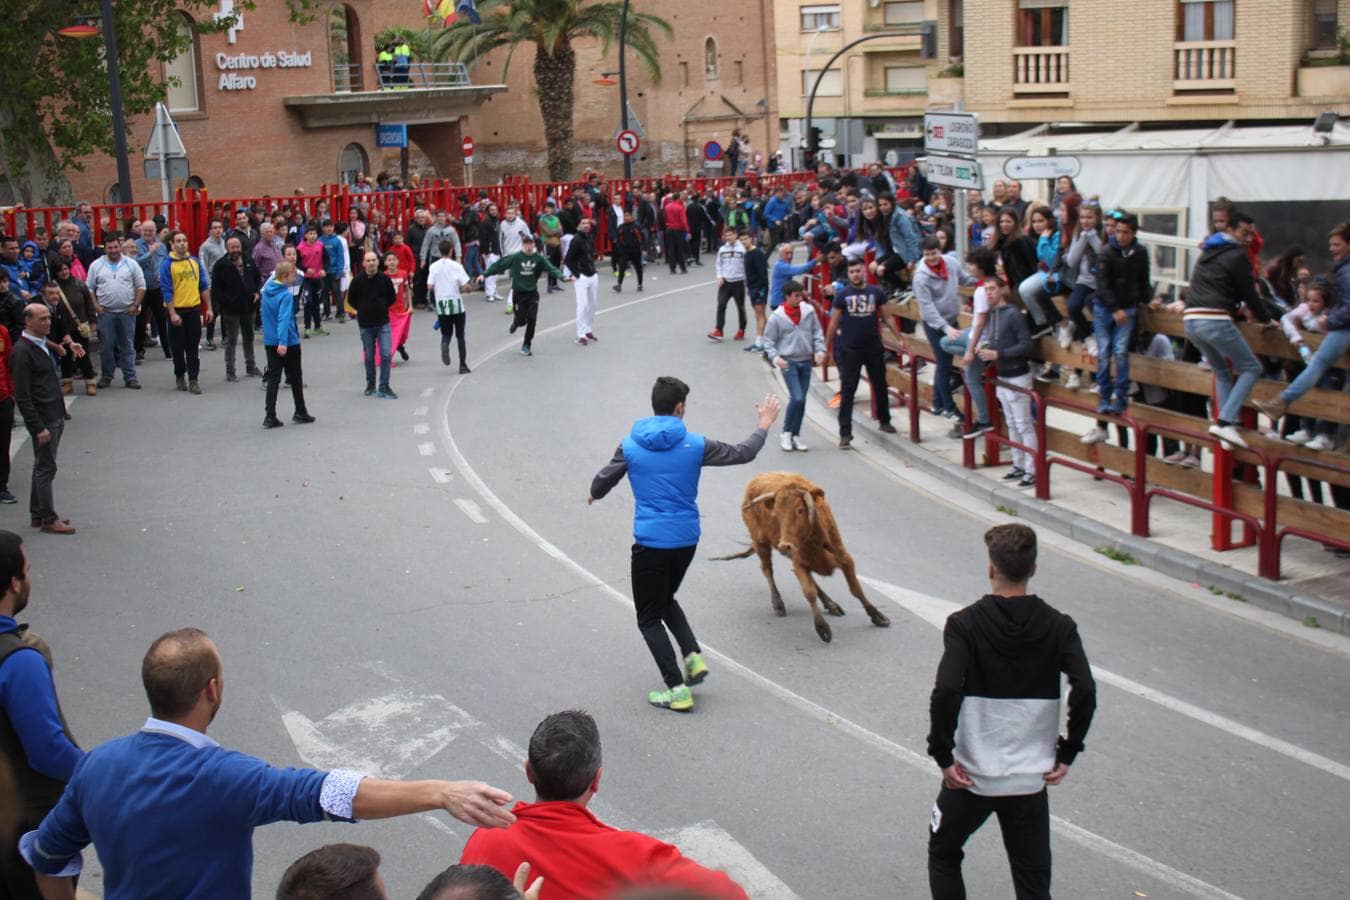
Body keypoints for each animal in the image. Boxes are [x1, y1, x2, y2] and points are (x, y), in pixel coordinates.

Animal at [718, 472, 896, 639]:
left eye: (800, 510)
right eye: (776, 514)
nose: (785, 545)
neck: (814, 540)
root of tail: (757, 478)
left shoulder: (845, 558)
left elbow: (855, 589)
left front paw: (878, 617)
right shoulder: (799, 563)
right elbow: (809, 593)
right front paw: (822, 629)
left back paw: (831, 604)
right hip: (760, 542)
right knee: (768, 570)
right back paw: (778, 604)